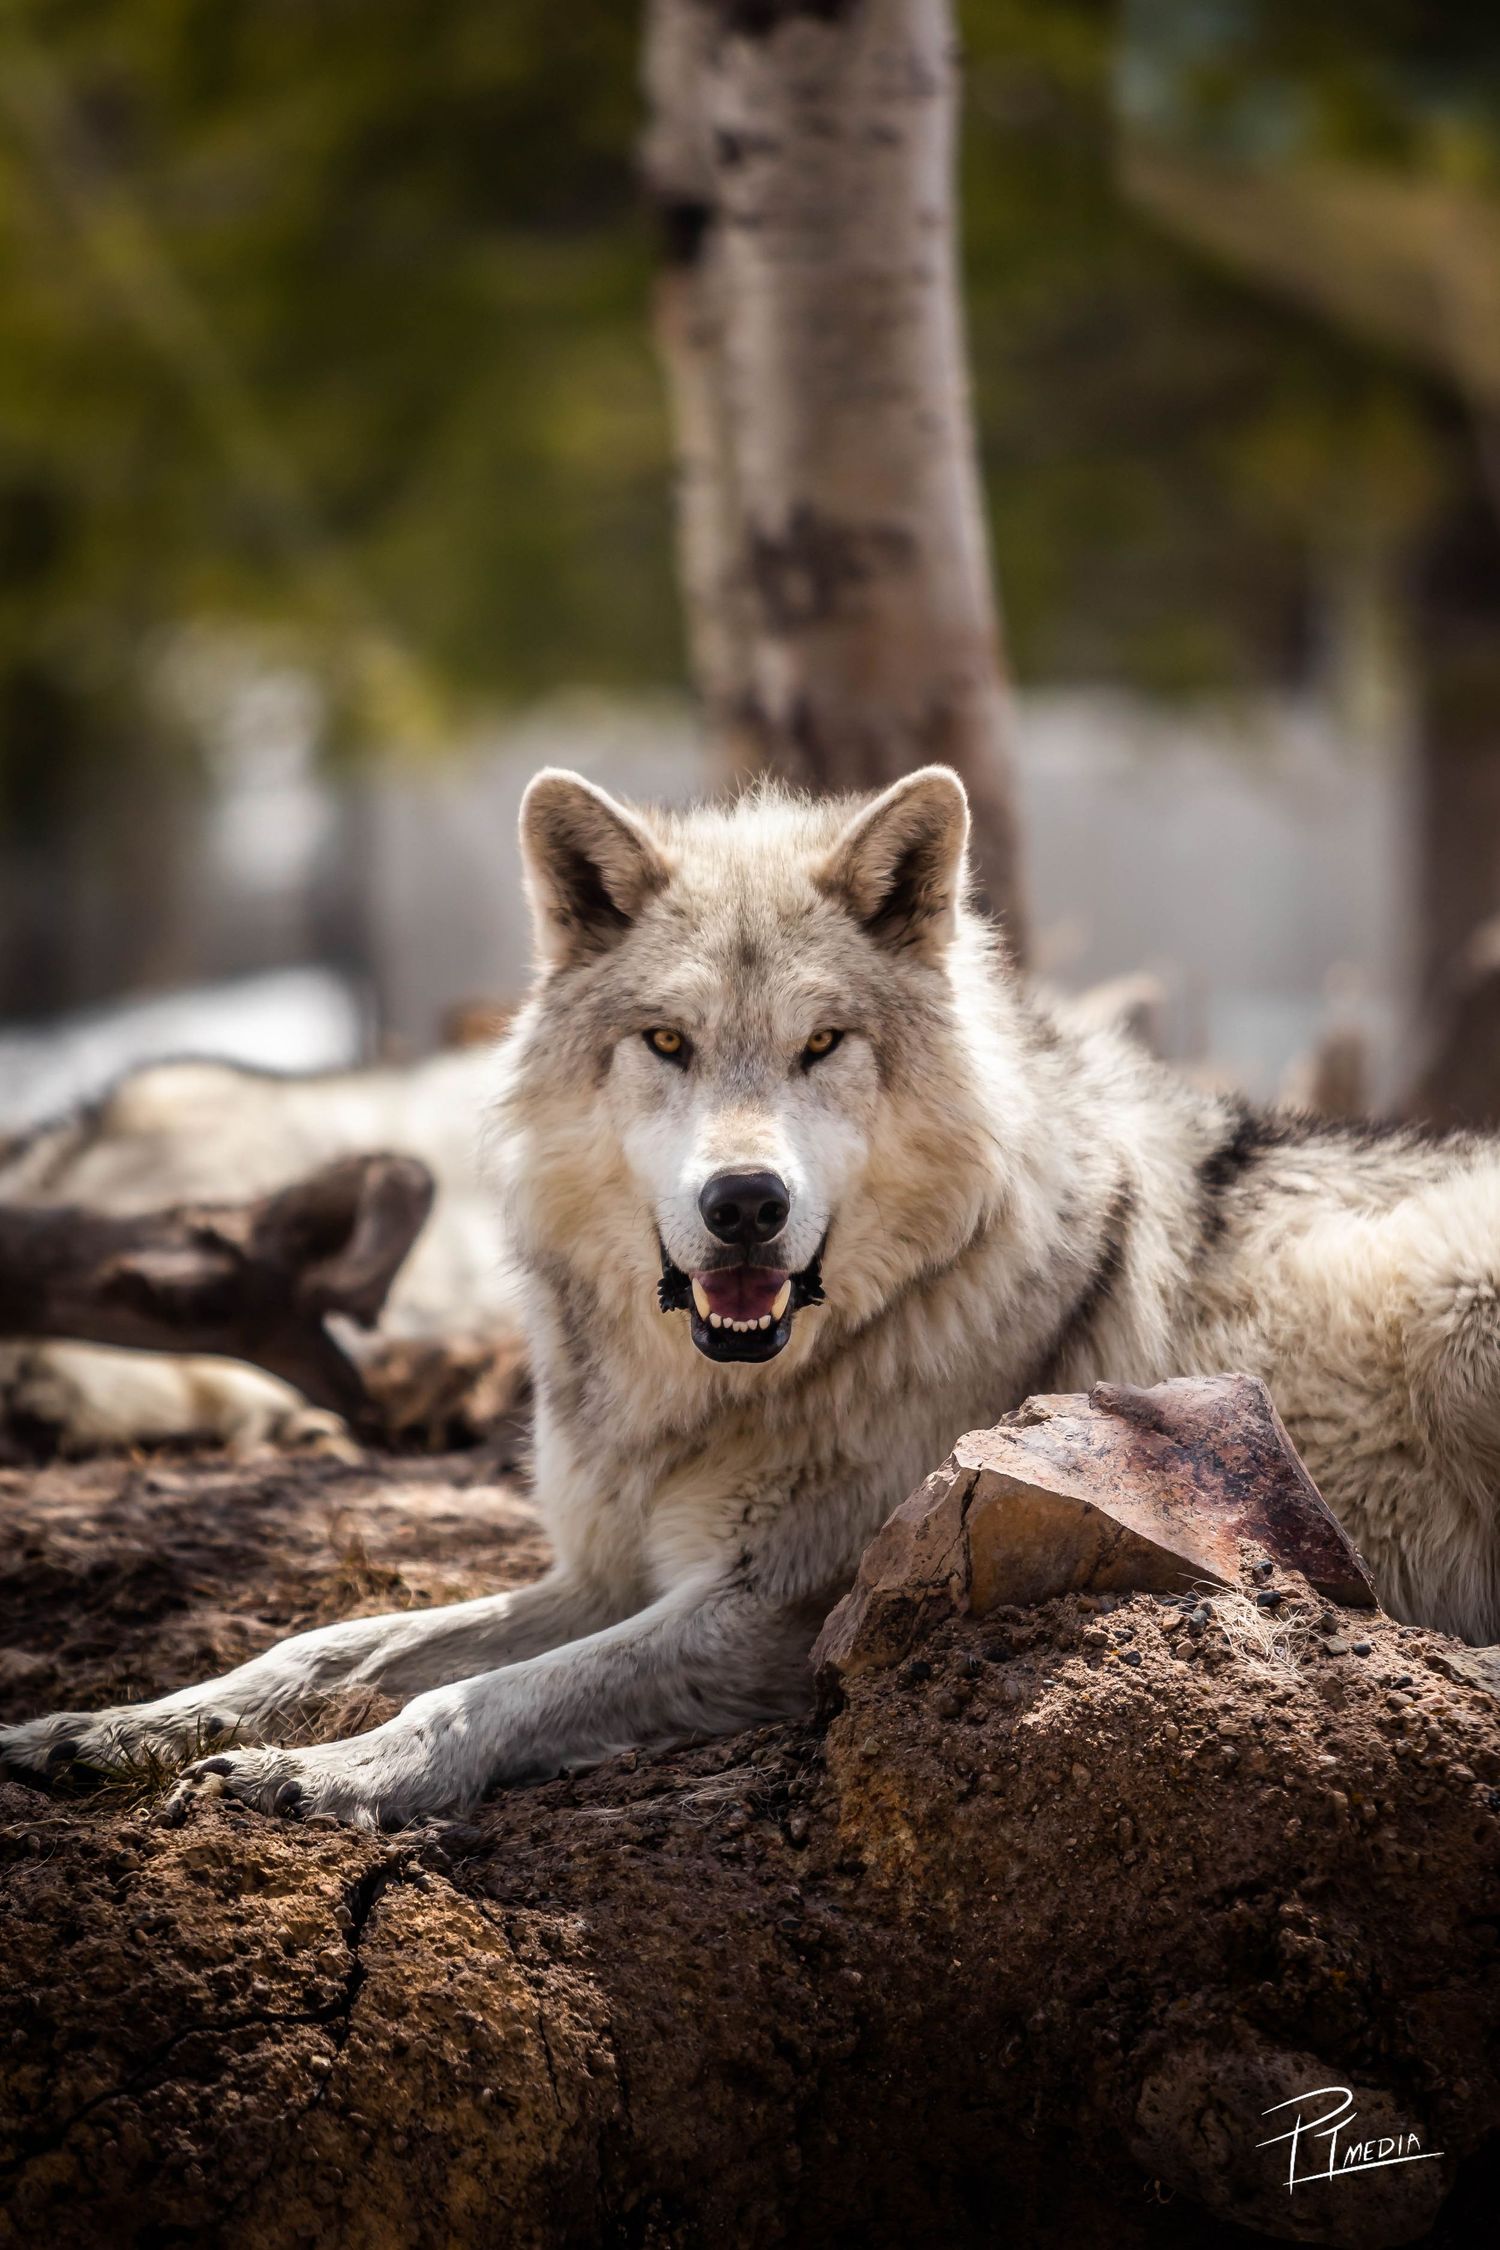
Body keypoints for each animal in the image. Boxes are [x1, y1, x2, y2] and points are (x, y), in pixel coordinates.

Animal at [5, 765, 1499, 1828]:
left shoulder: (777, 1610)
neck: (722, 1391)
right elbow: (331, 1645)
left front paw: (331, 1777)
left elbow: (480, 1697)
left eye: (822, 1043)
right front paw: (114, 1729)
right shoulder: (606, 1572)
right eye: (667, 1042)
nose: (745, 1203)